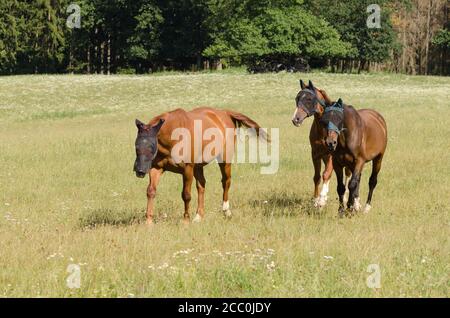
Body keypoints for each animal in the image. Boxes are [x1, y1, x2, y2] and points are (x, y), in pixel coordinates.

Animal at [133, 106, 268, 224]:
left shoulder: (187, 169)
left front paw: (185, 221)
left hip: (224, 160)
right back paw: (199, 216)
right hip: (198, 166)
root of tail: (224, 113)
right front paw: (149, 222)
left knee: (226, 181)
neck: (173, 136)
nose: (139, 170)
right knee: (201, 185)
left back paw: (226, 210)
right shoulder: (156, 168)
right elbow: (151, 191)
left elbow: (186, 195)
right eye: (136, 145)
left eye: (151, 146)